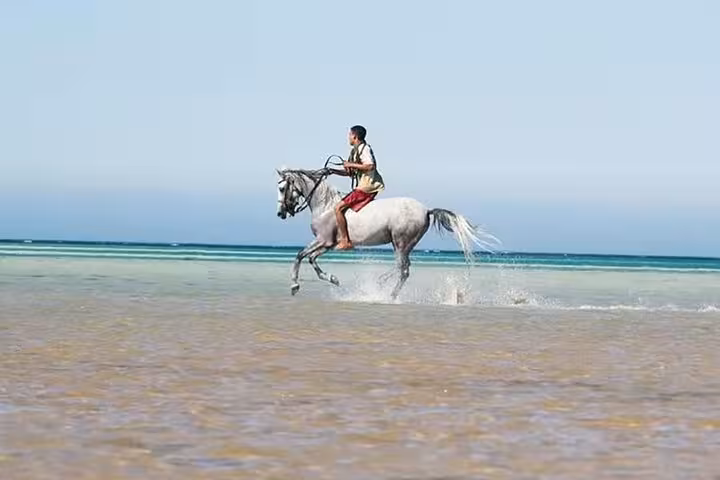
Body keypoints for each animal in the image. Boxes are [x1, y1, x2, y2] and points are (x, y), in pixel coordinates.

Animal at [276, 167, 500, 299]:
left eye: (281, 188)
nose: (280, 213)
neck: (324, 205)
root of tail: (426, 210)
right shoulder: (327, 244)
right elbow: (310, 259)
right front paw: (332, 278)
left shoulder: (324, 241)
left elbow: (300, 255)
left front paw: (295, 285)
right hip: (402, 244)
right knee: (404, 267)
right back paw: (383, 285)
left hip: (400, 242)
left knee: (403, 269)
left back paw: (386, 291)